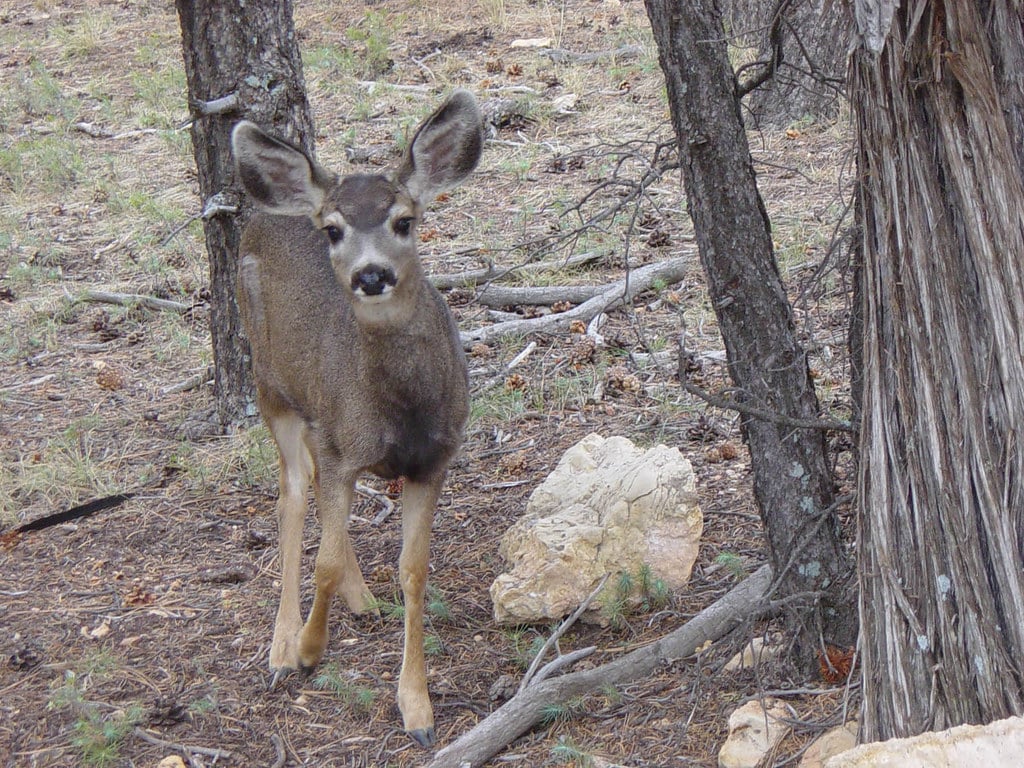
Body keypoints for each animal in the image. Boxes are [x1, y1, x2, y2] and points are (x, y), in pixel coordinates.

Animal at [230, 90, 483, 748]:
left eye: (404, 220)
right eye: (334, 230)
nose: (371, 275)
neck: (398, 412)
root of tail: (273, 209)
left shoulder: (434, 460)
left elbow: (413, 572)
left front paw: (417, 707)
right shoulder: (342, 447)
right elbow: (321, 560)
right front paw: (307, 651)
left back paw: (361, 598)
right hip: (272, 385)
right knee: (293, 494)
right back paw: (281, 643)